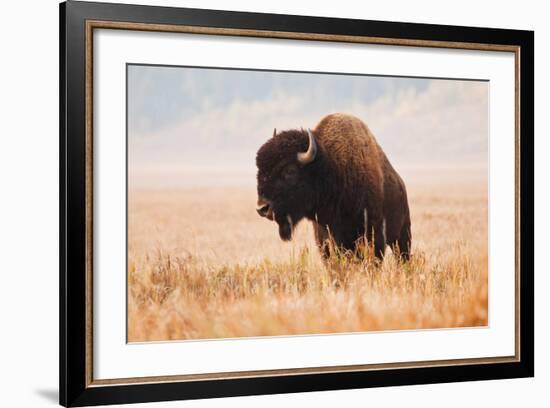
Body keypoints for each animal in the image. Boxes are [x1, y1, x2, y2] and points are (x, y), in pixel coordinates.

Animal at [256, 112, 412, 258]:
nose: (262, 208)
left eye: (290, 170)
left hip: (402, 237)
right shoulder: (325, 239)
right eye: (260, 170)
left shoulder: (374, 236)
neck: (333, 169)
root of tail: (401, 184)